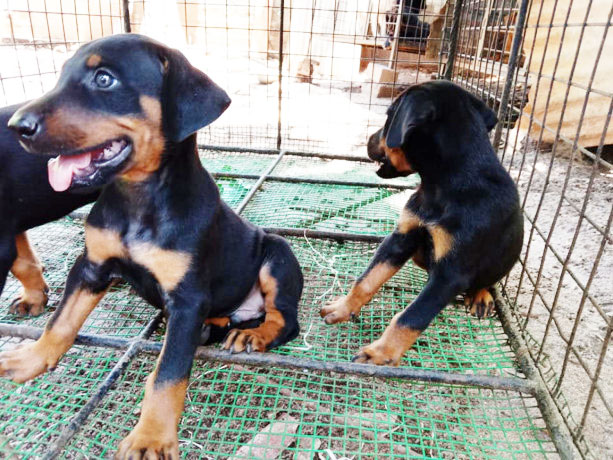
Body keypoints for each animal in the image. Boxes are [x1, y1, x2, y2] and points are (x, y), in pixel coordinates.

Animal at [320, 80, 520, 366]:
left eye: (388, 115)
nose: (368, 140)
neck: (445, 185)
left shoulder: (450, 275)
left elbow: (411, 317)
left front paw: (380, 354)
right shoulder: (402, 237)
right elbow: (366, 280)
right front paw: (342, 308)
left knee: (488, 280)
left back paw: (480, 296)